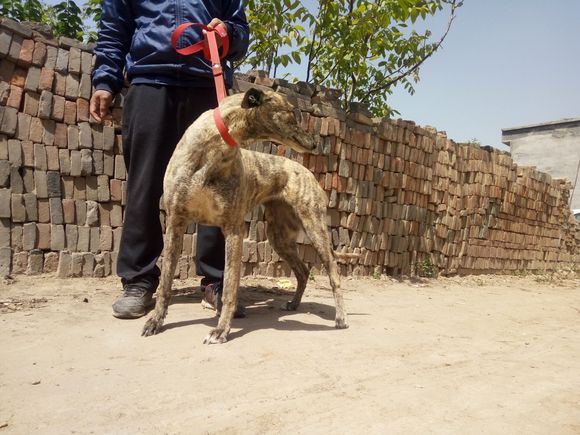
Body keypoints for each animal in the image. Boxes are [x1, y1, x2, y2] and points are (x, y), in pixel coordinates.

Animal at [143, 88, 348, 344]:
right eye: (292, 113)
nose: (314, 142)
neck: (215, 147)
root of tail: (306, 171)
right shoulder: (175, 223)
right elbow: (165, 283)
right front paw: (155, 321)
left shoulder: (233, 229)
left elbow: (230, 286)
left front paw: (221, 330)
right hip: (279, 237)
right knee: (303, 271)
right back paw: (293, 303)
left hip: (315, 229)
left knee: (334, 274)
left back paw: (340, 318)